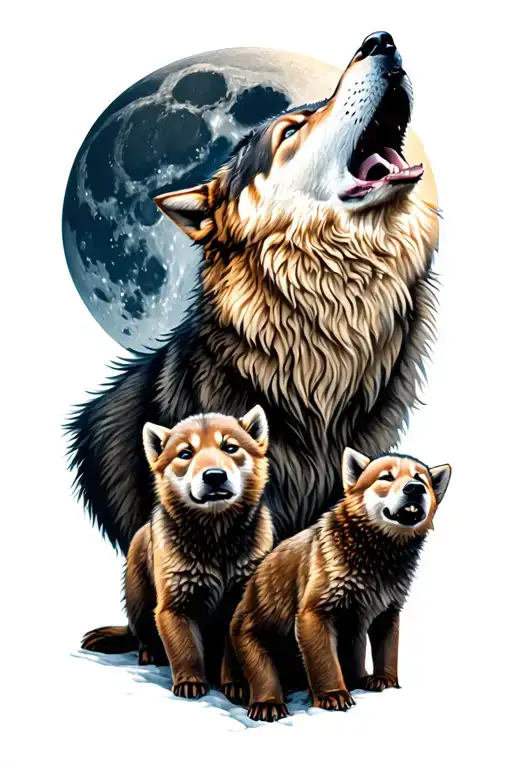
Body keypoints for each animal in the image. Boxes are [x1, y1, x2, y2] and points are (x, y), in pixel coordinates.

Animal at [82, 407, 273, 699]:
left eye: (230, 447)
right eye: (185, 453)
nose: (214, 476)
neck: (216, 539)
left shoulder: (239, 600)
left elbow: (233, 648)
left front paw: (236, 685)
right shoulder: (174, 603)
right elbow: (185, 648)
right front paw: (190, 682)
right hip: (138, 596)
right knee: (142, 633)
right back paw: (149, 653)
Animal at [230, 448, 451, 721]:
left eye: (420, 479)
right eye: (386, 477)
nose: (414, 488)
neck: (377, 555)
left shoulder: (388, 610)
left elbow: (388, 648)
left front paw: (386, 680)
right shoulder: (313, 613)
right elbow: (323, 660)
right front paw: (333, 695)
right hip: (251, 633)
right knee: (262, 673)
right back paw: (266, 702)